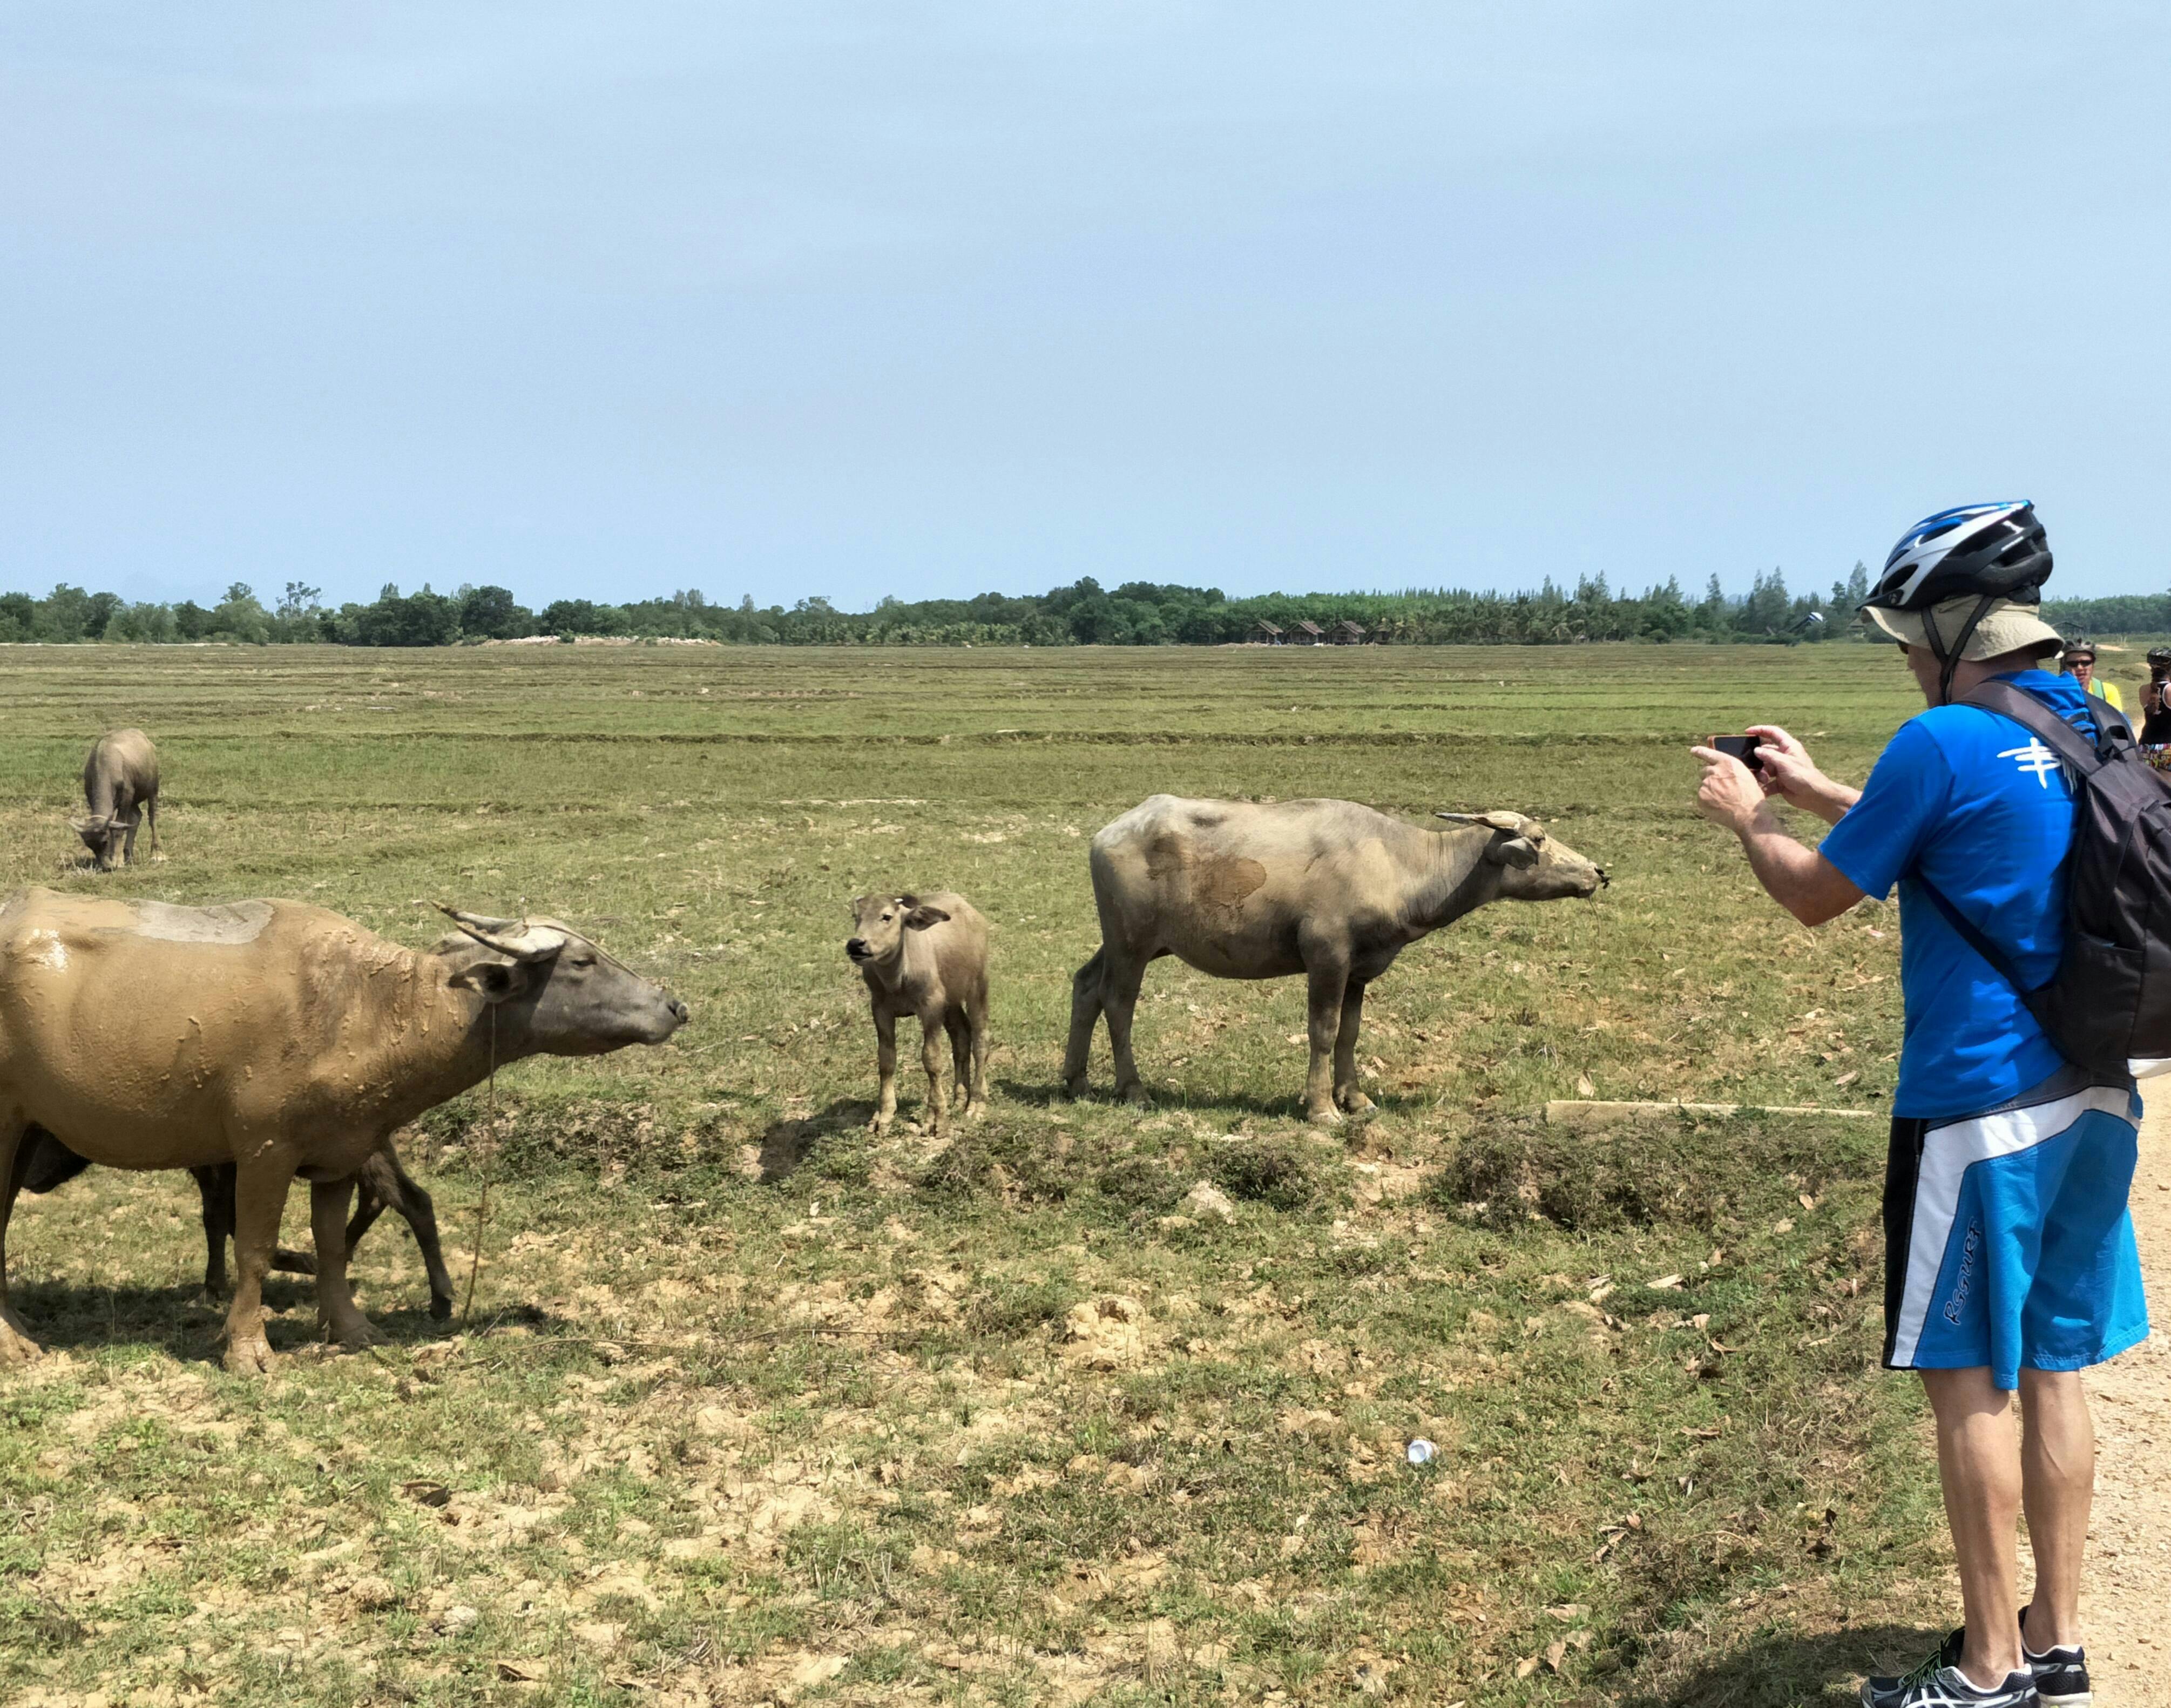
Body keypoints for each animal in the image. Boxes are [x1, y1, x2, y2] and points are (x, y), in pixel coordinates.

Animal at [0, 894, 686, 1380]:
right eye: (581, 962)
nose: (675, 1006)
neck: (368, 1004)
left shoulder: (339, 1153)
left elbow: (331, 1247)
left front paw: (352, 1328)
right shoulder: (263, 1149)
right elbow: (252, 1246)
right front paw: (247, 1349)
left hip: (26, 1130)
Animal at [72, 729, 159, 876]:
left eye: (105, 841)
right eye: (89, 845)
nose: (107, 867)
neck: (106, 763)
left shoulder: (126, 798)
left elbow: (119, 829)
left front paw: (117, 861)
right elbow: (116, 826)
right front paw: (117, 858)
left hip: (153, 789)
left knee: (153, 818)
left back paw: (157, 854)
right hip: (134, 801)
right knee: (136, 817)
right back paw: (128, 855)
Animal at [847, 894, 994, 1137]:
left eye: (886, 917)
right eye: (856, 916)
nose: (856, 944)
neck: (897, 980)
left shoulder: (931, 1007)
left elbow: (931, 1060)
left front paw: (936, 1119)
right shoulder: (880, 1009)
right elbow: (886, 1060)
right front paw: (883, 1116)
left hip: (978, 985)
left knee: (981, 1039)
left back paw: (976, 1103)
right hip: (951, 1000)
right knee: (962, 1037)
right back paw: (959, 1099)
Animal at [1059, 799, 1606, 1128]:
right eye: (1539, 839)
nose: (1598, 871)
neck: (1399, 864)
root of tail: (1108, 833)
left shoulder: (1360, 967)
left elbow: (1349, 1032)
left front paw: (1356, 1097)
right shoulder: (1327, 954)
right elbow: (1322, 1031)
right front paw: (1322, 1107)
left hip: (1129, 942)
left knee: (1085, 985)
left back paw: (1076, 1081)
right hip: (1131, 942)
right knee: (1118, 1002)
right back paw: (1132, 1089)